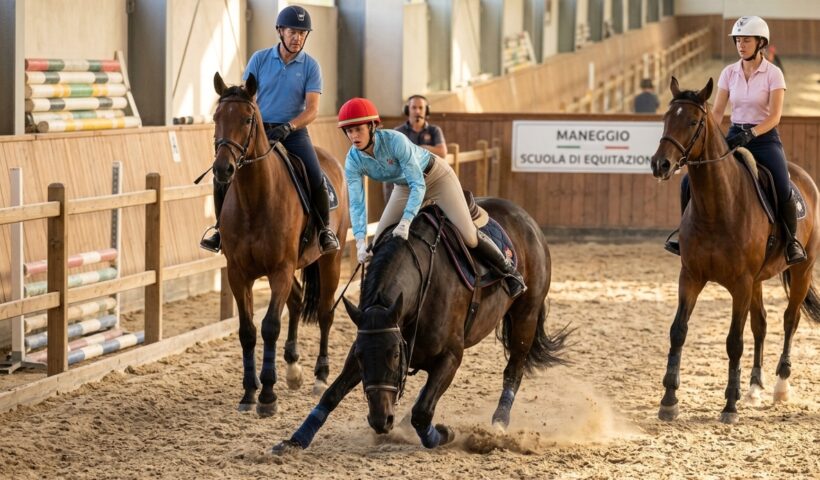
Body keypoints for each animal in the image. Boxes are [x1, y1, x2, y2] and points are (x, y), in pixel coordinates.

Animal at [211, 72, 349, 416]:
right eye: (216, 117)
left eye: (248, 119)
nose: (222, 169)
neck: (254, 199)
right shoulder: (239, 274)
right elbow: (247, 331)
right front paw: (249, 393)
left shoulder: (280, 270)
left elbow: (270, 326)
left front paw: (267, 396)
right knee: (298, 301)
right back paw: (293, 369)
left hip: (330, 259)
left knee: (325, 312)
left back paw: (320, 376)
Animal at [272, 198, 569, 451]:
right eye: (361, 355)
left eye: (394, 354)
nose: (380, 420)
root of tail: (526, 219)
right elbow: (332, 394)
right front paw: (295, 440)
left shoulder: (451, 356)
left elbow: (422, 412)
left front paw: (444, 433)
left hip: (525, 317)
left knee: (514, 369)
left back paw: (498, 424)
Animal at [650, 76, 820, 424]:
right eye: (666, 118)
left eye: (693, 121)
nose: (660, 164)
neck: (718, 206)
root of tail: (804, 177)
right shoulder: (690, 277)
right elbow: (678, 331)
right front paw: (669, 400)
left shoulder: (740, 284)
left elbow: (733, 342)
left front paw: (729, 405)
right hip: (757, 281)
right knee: (761, 324)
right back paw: (754, 388)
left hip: (801, 270)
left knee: (790, 319)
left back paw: (780, 386)